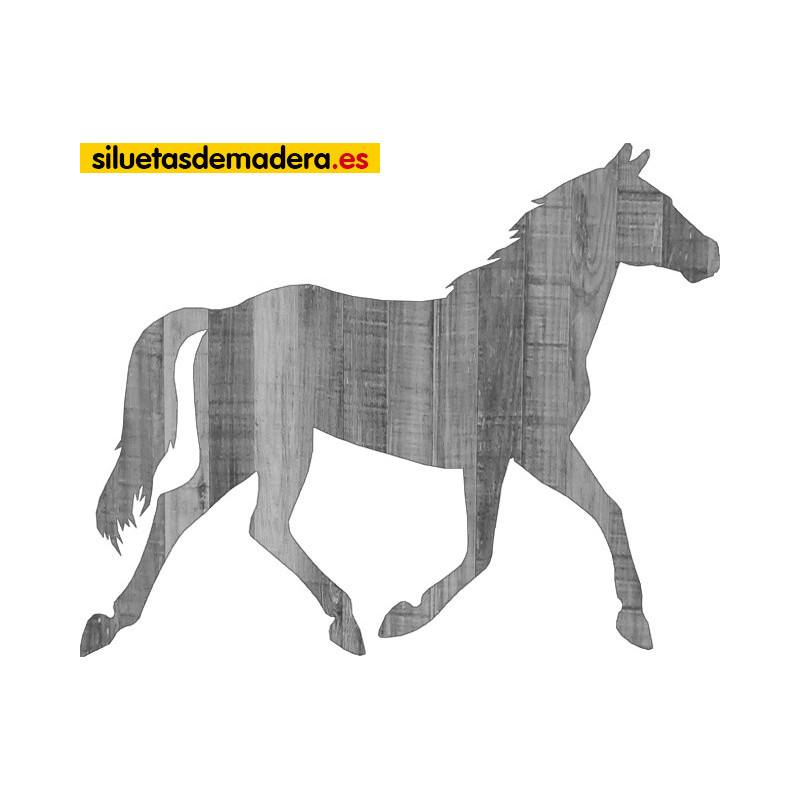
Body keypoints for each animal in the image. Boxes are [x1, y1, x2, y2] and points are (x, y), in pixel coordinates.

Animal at [80, 144, 719, 657]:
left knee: (188, 510)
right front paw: (633, 621)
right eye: (652, 202)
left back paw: (113, 621)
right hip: (271, 446)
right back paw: (345, 621)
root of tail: (220, 315)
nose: (712, 254)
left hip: (240, 450)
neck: (525, 320)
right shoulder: (528, 450)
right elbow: (551, 529)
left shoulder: (508, 454)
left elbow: (522, 536)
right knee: (258, 522)